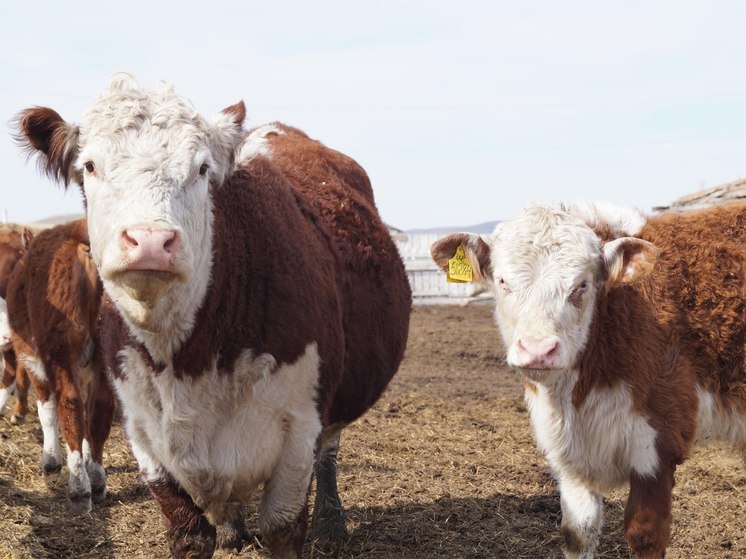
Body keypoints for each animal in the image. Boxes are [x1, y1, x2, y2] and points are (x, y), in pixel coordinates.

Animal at [5, 217, 114, 516]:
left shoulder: (32, 357)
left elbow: (46, 409)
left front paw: (51, 459)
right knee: (100, 409)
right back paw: (96, 478)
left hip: (60, 351)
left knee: (69, 406)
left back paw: (79, 487)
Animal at [430, 203, 744, 559]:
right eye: (502, 281)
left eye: (581, 285)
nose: (538, 350)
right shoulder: (568, 455)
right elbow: (578, 531)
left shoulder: (660, 440)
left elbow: (645, 534)